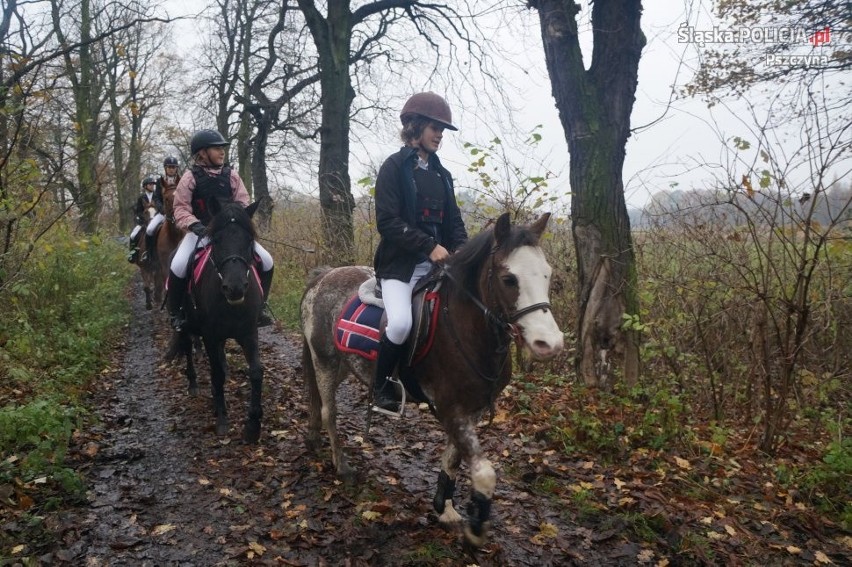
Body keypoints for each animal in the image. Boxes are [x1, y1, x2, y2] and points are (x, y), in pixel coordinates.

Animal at [302, 212, 564, 544]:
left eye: (547, 275)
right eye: (509, 279)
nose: (549, 344)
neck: (464, 328)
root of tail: (323, 277)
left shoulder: (472, 410)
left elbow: (453, 458)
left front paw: (445, 509)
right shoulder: (451, 408)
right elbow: (484, 472)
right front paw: (476, 524)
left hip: (341, 367)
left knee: (317, 400)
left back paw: (313, 438)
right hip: (324, 361)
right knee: (329, 412)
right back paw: (342, 466)